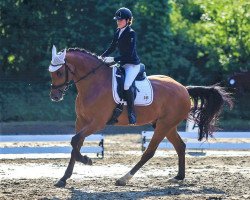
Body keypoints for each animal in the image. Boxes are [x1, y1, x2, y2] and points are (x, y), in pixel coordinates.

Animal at [48, 47, 232, 188]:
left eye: (59, 73)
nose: (55, 96)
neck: (94, 83)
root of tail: (184, 89)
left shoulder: (97, 123)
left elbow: (74, 141)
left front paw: (87, 160)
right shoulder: (81, 121)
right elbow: (75, 144)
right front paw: (63, 178)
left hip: (164, 125)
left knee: (149, 151)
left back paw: (124, 178)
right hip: (166, 125)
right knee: (180, 146)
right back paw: (178, 177)